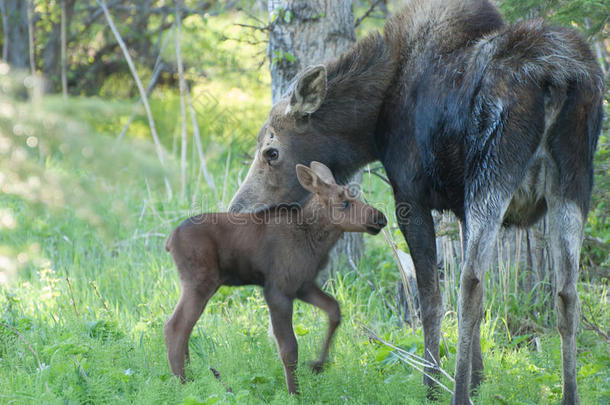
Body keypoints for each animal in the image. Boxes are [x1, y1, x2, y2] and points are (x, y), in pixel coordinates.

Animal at [164, 162, 388, 394]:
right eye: (344, 202)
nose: (380, 217)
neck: (314, 241)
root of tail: (169, 241)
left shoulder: (303, 285)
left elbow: (334, 310)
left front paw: (318, 364)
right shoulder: (278, 289)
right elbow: (289, 348)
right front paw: (294, 393)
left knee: (184, 327)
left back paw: (192, 379)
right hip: (200, 282)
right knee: (175, 326)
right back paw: (184, 384)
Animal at [229, 0, 604, 400]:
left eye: (271, 152)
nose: (237, 211)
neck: (374, 124)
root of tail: (557, 77)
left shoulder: (411, 197)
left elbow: (430, 299)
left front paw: (434, 383)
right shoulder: (459, 206)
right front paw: (478, 380)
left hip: (493, 173)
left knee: (470, 284)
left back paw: (456, 395)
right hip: (574, 183)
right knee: (567, 293)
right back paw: (569, 394)